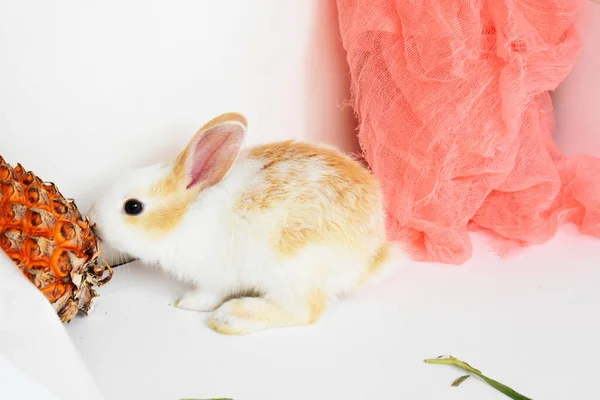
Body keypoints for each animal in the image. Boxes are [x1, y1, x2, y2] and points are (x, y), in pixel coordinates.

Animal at [89, 111, 400, 334]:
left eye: (133, 207)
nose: (92, 221)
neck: (184, 218)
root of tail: (365, 257)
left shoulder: (215, 276)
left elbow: (209, 294)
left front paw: (188, 302)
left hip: (294, 270)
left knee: (305, 311)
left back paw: (233, 318)